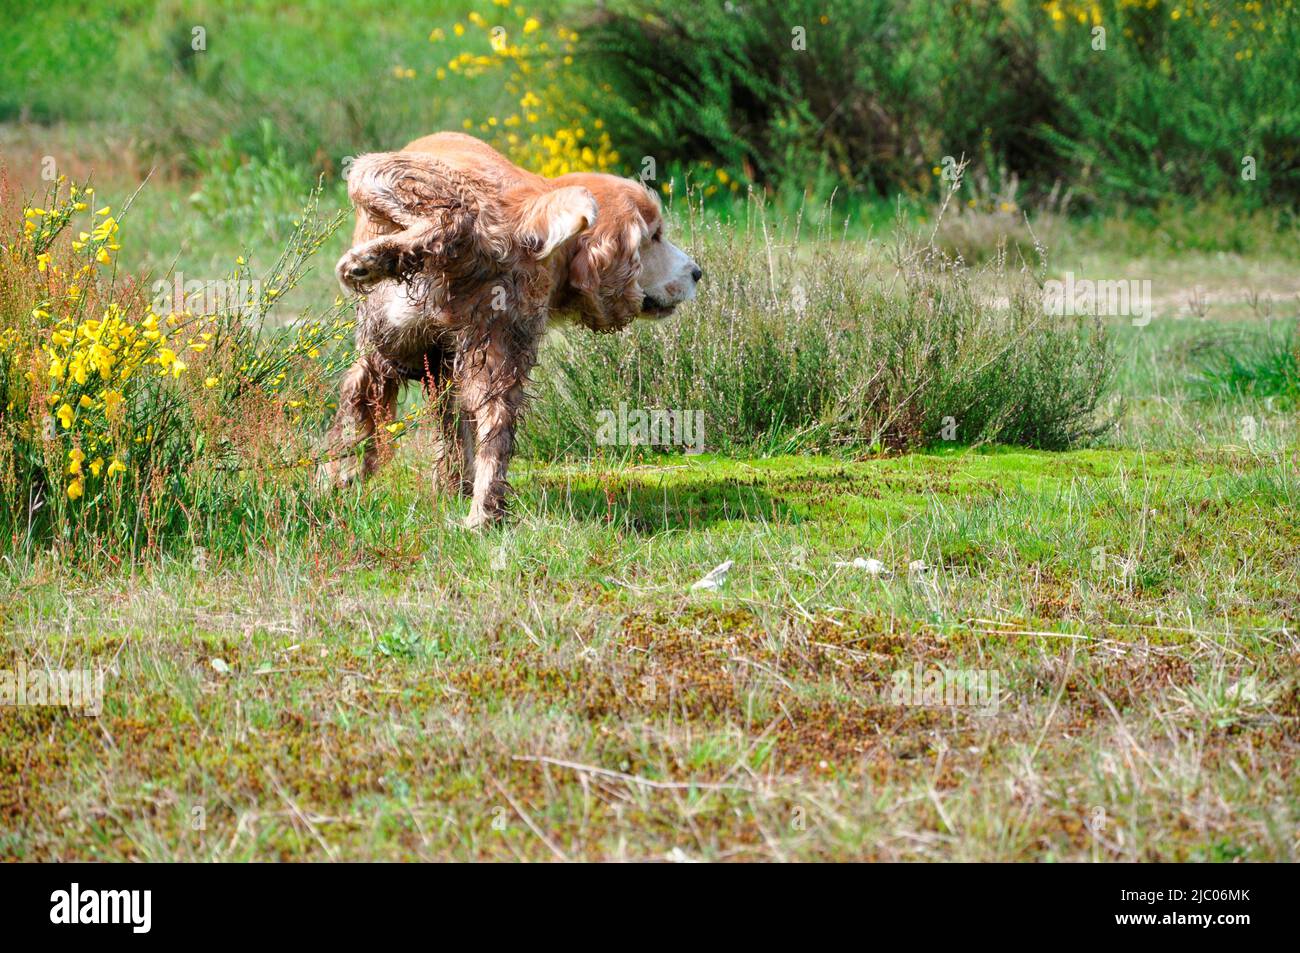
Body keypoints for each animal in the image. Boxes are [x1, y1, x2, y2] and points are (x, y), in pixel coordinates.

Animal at [321, 131, 702, 527]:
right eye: (654, 236)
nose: (697, 272)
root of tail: (521, 215)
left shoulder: (392, 356)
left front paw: (337, 479)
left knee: (455, 217)